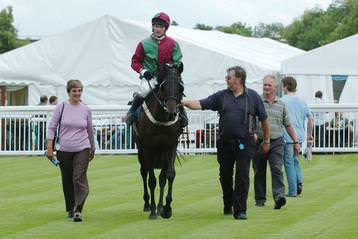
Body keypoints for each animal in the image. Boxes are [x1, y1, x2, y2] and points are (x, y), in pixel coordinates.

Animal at [134, 62, 185, 219]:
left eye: (181, 87)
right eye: (163, 87)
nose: (172, 109)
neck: (162, 118)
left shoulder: (171, 146)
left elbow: (169, 175)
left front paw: (166, 208)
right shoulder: (148, 147)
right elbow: (151, 180)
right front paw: (152, 211)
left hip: (162, 152)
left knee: (162, 177)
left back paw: (160, 207)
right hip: (141, 149)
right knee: (144, 172)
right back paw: (148, 204)